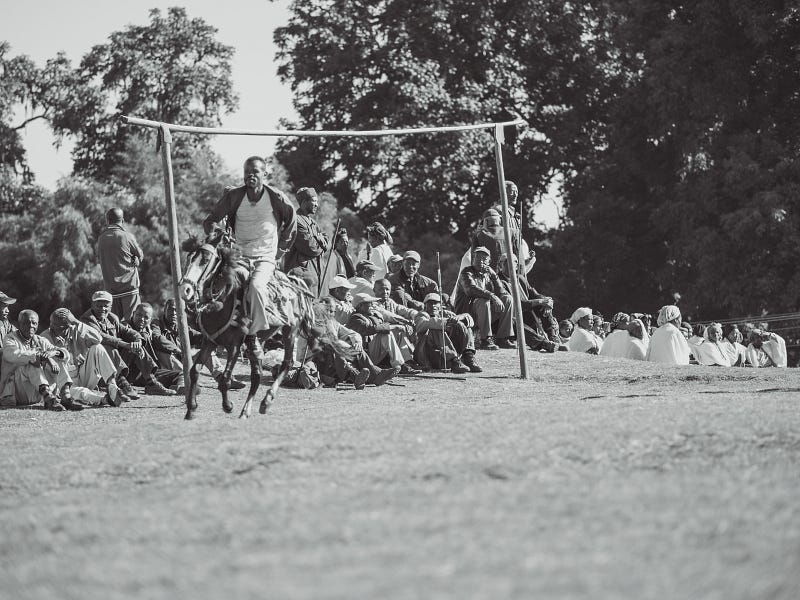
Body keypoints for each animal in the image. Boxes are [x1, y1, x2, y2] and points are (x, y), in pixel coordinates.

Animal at [179, 229, 321, 420]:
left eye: (205, 259)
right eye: (190, 257)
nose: (185, 290)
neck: (223, 301)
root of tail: (295, 284)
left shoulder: (234, 344)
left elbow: (225, 379)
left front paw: (228, 405)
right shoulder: (210, 341)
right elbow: (194, 371)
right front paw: (191, 409)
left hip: (290, 330)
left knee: (287, 363)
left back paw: (266, 401)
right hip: (259, 339)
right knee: (257, 375)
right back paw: (246, 410)